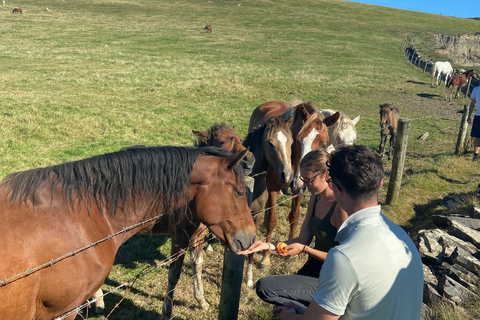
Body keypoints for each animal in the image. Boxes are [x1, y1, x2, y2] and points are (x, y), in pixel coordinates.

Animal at [0, 146, 256, 320]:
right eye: (240, 192)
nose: (251, 237)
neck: (79, 215)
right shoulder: (62, 311)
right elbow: (177, 271)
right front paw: (169, 309)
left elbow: (195, 266)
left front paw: (200, 301)